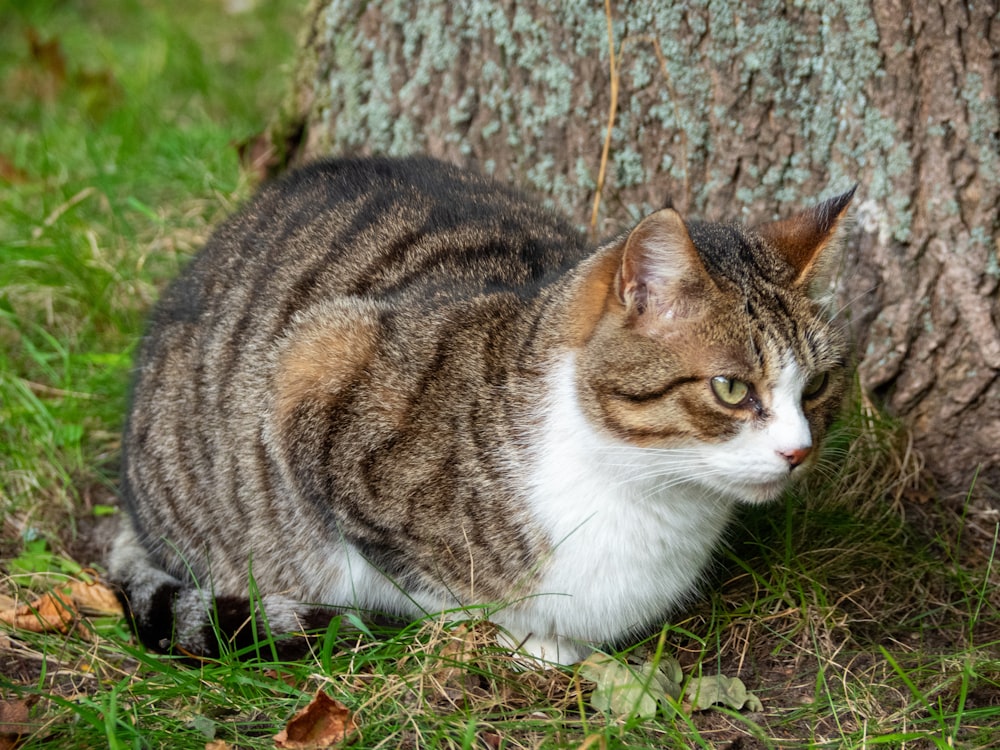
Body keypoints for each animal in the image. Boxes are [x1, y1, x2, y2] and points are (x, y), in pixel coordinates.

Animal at [111, 156, 860, 668]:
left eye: (819, 385)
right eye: (731, 388)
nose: (799, 451)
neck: (643, 490)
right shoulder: (317, 369)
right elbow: (425, 579)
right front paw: (523, 642)